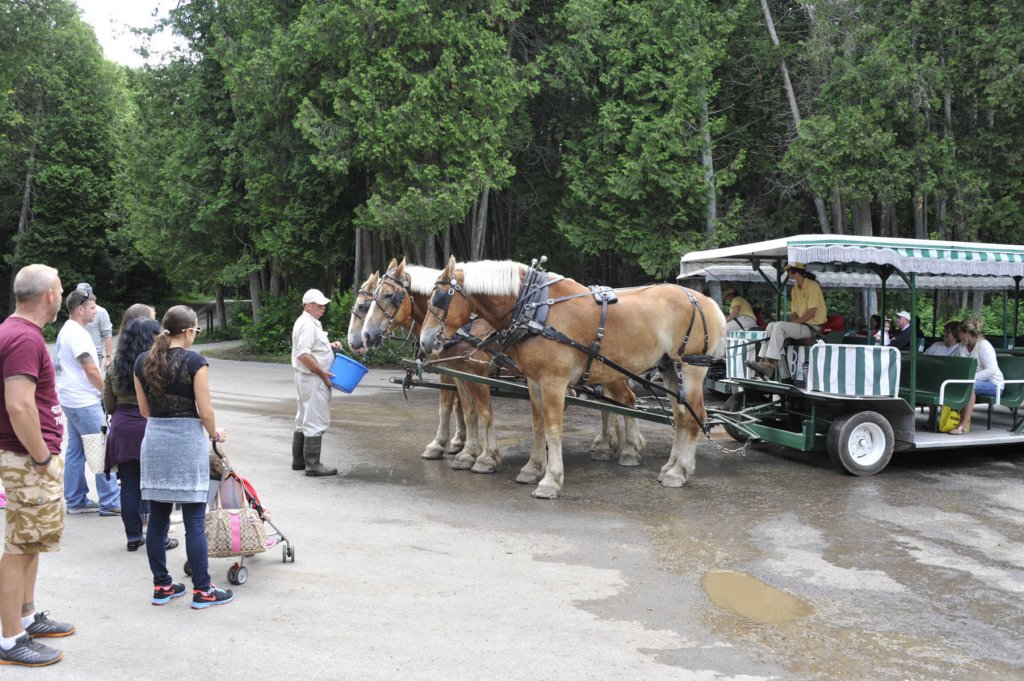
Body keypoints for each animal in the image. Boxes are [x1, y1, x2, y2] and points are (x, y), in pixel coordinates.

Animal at [419, 257, 727, 499]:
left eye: (440, 298)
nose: (425, 341)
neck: (534, 308)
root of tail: (707, 301)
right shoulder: (534, 382)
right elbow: (538, 425)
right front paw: (533, 468)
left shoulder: (554, 382)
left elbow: (553, 429)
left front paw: (551, 480)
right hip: (668, 367)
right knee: (680, 416)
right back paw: (670, 467)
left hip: (691, 367)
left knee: (694, 417)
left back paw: (679, 471)